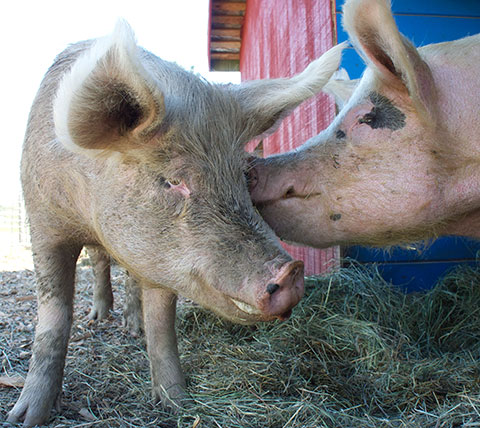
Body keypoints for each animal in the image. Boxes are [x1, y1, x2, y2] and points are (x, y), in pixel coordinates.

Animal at [7, 21, 344, 426]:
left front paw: (177, 405)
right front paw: (24, 417)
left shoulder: (164, 262)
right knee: (101, 263)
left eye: (244, 174)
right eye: (172, 181)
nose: (291, 271)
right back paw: (100, 317)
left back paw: (131, 327)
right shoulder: (44, 224)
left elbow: (162, 325)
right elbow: (53, 317)